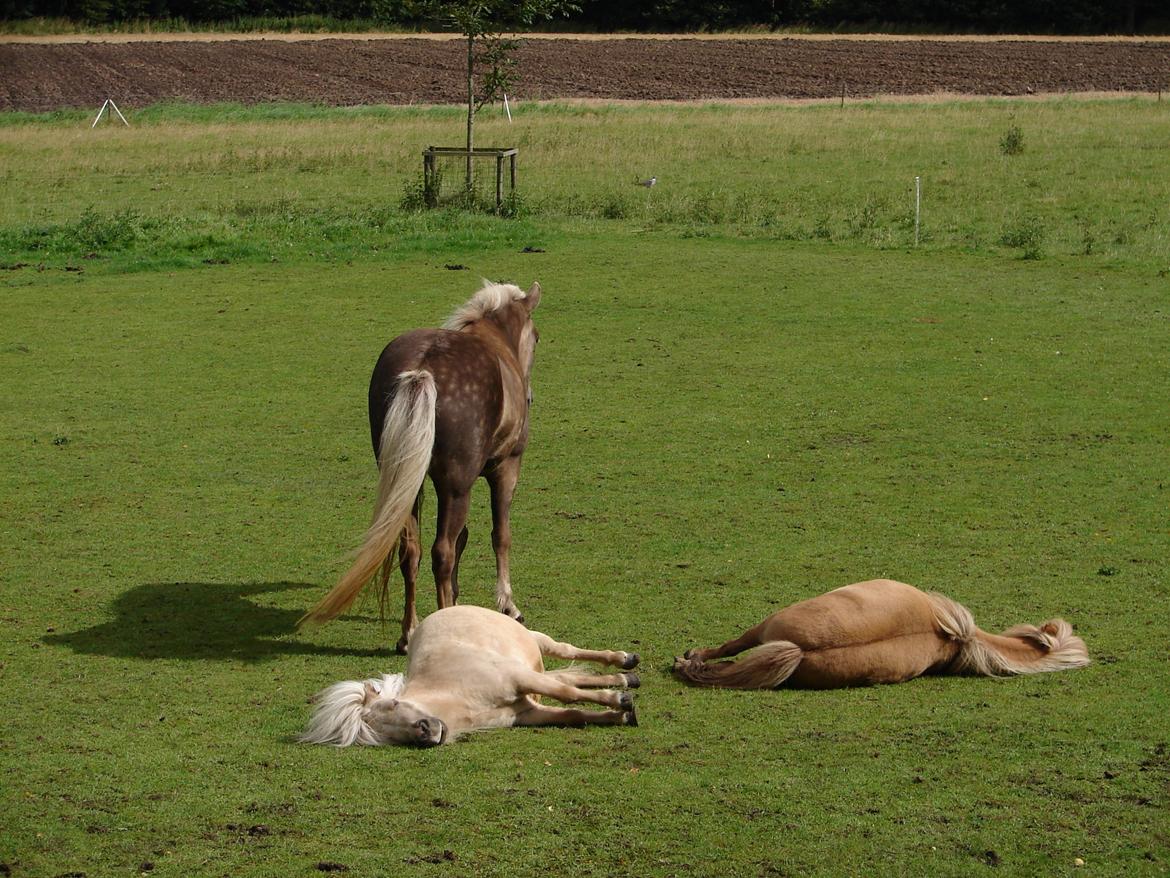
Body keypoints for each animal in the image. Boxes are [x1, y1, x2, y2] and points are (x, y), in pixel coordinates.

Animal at [299, 279, 540, 655]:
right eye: (537, 337)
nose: (529, 397)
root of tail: (424, 367)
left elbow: (463, 538)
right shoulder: (504, 469)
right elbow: (500, 536)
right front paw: (508, 604)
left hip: (408, 486)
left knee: (409, 551)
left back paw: (409, 632)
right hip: (454, 487)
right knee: (441, 552)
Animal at [301, 608, 641, 744]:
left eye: (394, 704)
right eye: (383, 734)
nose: (425, 730)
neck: (457, 692)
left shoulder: (519, 679)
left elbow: (567, 696)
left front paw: (620, 702)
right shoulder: (527, 712)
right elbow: (572, 712)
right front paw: (621, 714)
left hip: (538, 643)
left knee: (568, 653)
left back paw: (625, 661)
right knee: (568, 678)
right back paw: (626, 679)